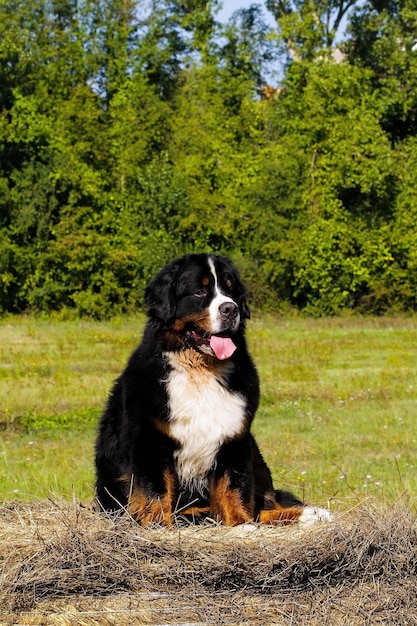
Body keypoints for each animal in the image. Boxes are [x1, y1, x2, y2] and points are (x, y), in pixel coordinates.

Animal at [95, 251, 332, 524]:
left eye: (230, 290)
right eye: (199, 292)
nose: (231, 309)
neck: (200, 371)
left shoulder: (233, 436)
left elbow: (233, 487)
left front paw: (240, 524)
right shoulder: (150, 439)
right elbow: (157, 490)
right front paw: (158, 525)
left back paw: (311, 513)